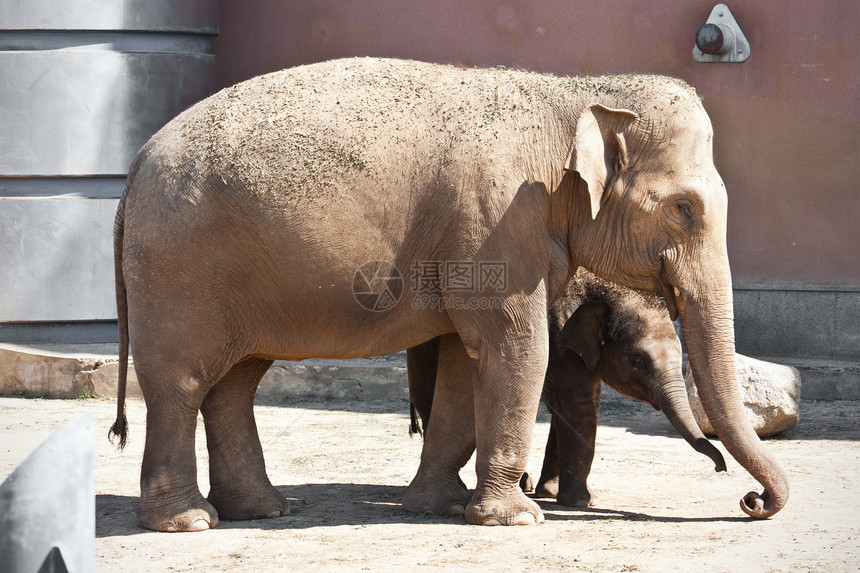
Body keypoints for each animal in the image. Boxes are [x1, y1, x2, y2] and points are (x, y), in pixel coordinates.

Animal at [410, 270, 724, 508]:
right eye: (639, 361)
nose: (721, 468)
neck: (601, 288)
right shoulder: (560, 340)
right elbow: (578, 408)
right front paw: (582, 502)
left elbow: (570, 410)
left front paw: (551, 493)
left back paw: (524, 485)